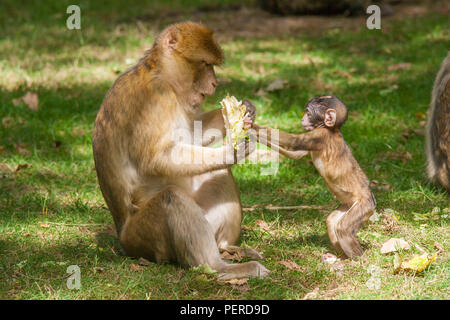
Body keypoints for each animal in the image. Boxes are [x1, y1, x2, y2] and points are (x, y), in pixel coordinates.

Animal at [91, 21, 268, 280]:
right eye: (205, 64)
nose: (214, 84)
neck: (160, 73)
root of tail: (122, 235)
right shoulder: (154, 99)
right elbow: (156, 158)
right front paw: (229, 152)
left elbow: (192, 134)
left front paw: (244, 110)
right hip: (143, 236)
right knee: (172, 198)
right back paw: (220, 267)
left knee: (217, 173)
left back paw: (227, 247)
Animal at [253, 96, 376, 258]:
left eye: (308, 113)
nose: (302, 118)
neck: (332, 130)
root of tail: (371, 200)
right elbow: (295, 154)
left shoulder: (321, 135)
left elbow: (294, 142)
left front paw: (250, 126)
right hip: (349, 205)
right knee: (331, 221)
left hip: (363, 205)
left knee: (343, 228)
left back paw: (357, 259)